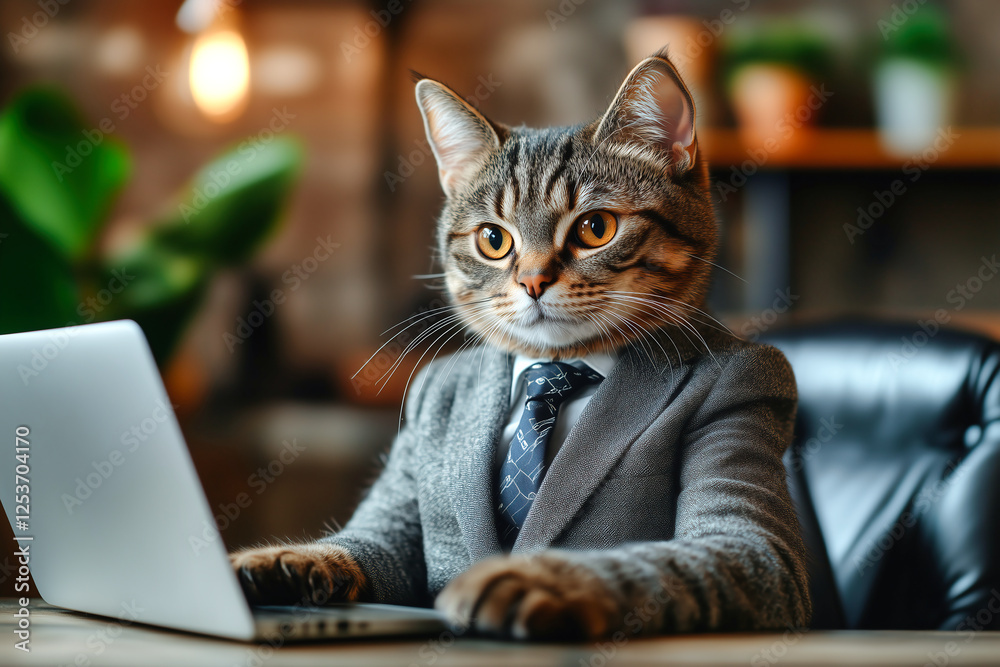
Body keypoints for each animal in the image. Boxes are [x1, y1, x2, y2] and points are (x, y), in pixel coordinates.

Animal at [232, 49, 812, 640]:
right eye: (493, 239)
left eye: (596, 228)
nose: (533, 281)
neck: (555, 366)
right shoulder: (396, 520)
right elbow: (370, 543)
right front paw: (282, 561)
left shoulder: (751, 515)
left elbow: (738, 547)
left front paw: (541, 581)